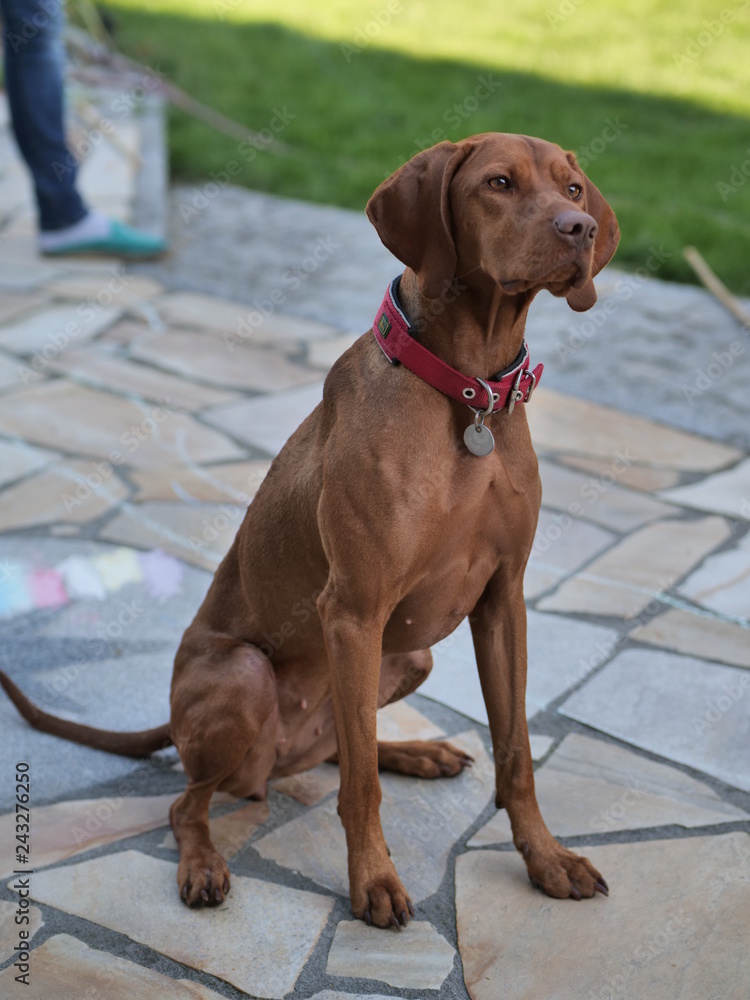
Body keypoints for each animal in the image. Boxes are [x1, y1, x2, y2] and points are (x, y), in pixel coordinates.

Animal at [0, 133, 620, 928]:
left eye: (573, 190)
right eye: (499, 183)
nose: (580, 230)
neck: (467, 390)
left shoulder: (502, 601)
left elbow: (517, 755)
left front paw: (546, 859)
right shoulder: (353, 610)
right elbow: (360, 788)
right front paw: (374, 881)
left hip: (409, 655)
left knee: (337, 751)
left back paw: (418, 752)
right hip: (246, 677)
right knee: (194, 801)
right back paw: (204, 864)